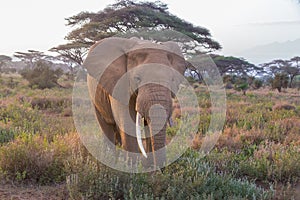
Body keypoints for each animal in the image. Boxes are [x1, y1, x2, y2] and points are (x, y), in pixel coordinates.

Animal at [83, 36, 186, 168]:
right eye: (137, 78)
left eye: (172, 79)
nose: (160, 169)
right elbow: (127, 123)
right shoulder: (119, 84)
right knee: (106, 124)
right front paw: (133, 168)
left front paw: (147, 167)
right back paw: (109, 161)